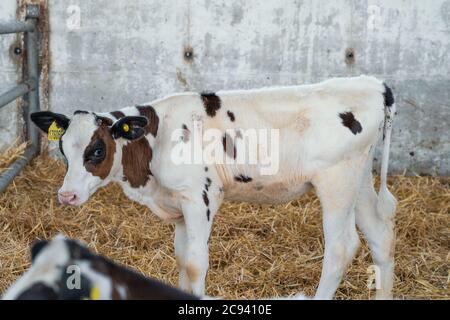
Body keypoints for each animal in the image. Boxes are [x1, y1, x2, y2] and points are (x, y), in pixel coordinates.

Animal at [30, 75, 398, 300]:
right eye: (64, 149)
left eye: (97, 150)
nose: (66, 195)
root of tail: (371, 84)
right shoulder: (178, 203)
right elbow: (182, 259)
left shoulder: (200, 197)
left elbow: (195, 263)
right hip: (359, 180)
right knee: (380, 235)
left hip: (337, 183)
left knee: (341, 247)